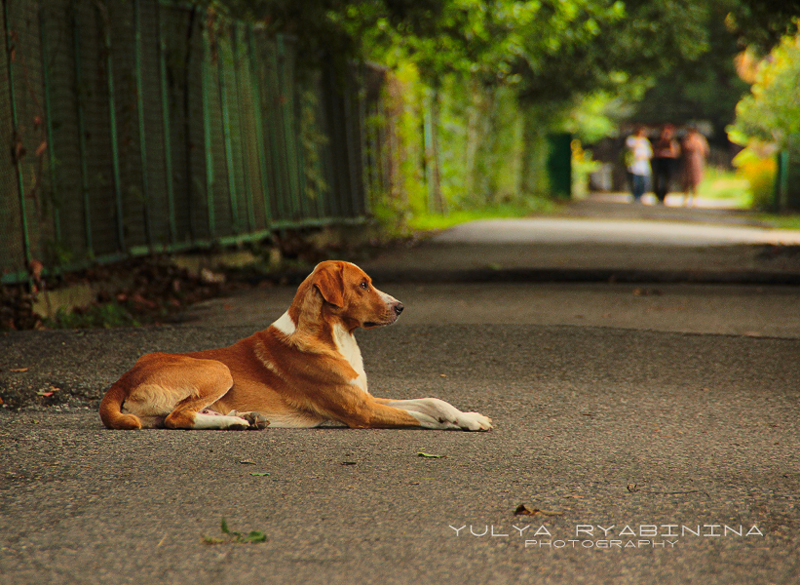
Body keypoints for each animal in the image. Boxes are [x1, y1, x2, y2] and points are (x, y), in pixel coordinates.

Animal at [97, 260, 490, 428]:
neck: (334, 338)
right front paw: (456, 424)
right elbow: (420, 416)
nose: (401, 307)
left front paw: (467, 417)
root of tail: (123, 378)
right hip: (217, 369)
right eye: (363, 284)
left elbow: (432, 400)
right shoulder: (360, 410)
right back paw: (235, 423)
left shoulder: (365, 396)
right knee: (177, 418)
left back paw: (244, 419)